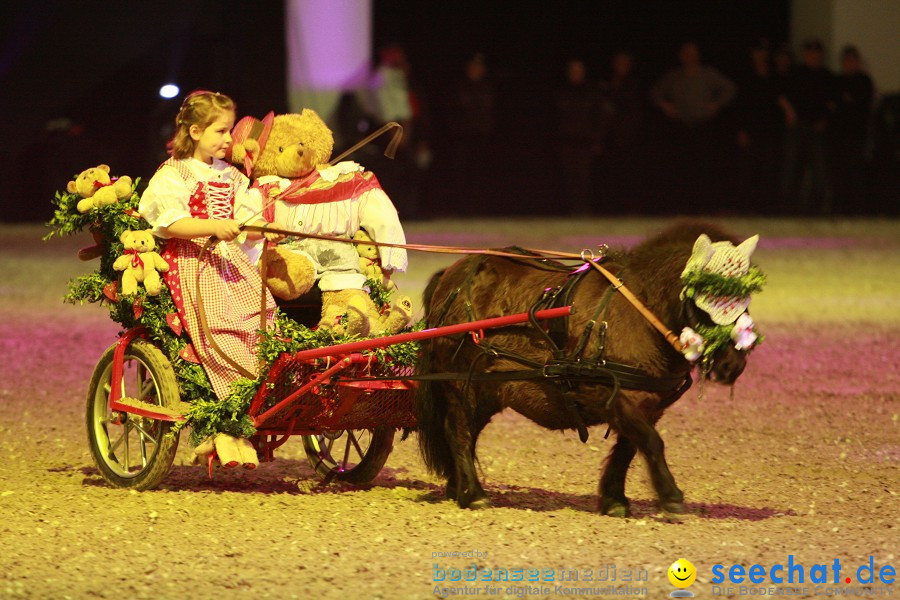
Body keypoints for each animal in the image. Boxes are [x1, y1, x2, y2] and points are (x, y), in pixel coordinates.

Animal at [414, 220, 752, 516]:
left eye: (745, 298)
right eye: (708, 297)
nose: (732, 364)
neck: (636, 313)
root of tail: (451, 275)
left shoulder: (648, 403)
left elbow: (629, 448)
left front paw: (614, 500)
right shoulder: (614, 396)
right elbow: (651, 442)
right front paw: (670, 495)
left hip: (486, 388)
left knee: (466, 431)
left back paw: (458, 488)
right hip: (461, 383)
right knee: (458, 430)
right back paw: (474, 495)